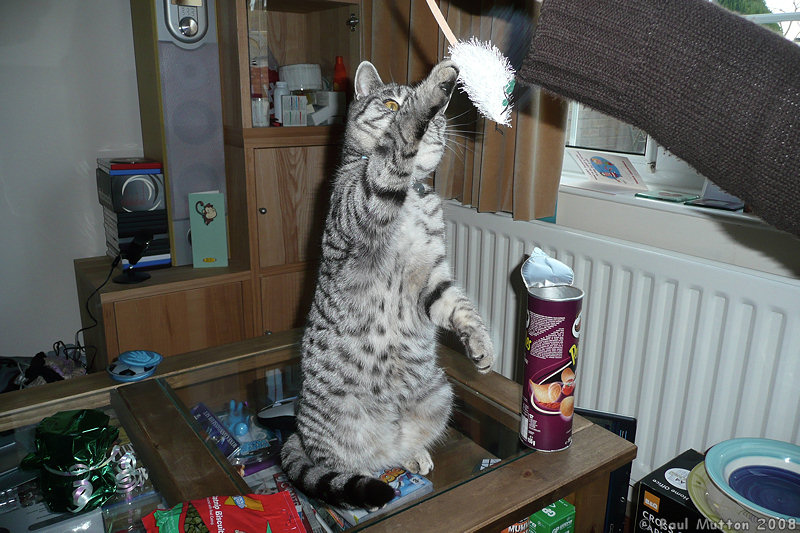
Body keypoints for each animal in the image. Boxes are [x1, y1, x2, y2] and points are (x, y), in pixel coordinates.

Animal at [282, 58, 494, 508]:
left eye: (442, 120)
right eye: (393, 102)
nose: (436, 121)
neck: (412, 193)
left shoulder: (430, 277)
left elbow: (459, 306)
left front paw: (480, 344)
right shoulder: (366, 196)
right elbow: (397, 143)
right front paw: (434, 86)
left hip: (439, 393)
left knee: (399, 448)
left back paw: (411, 456)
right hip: (338, 433)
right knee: (344, 464)